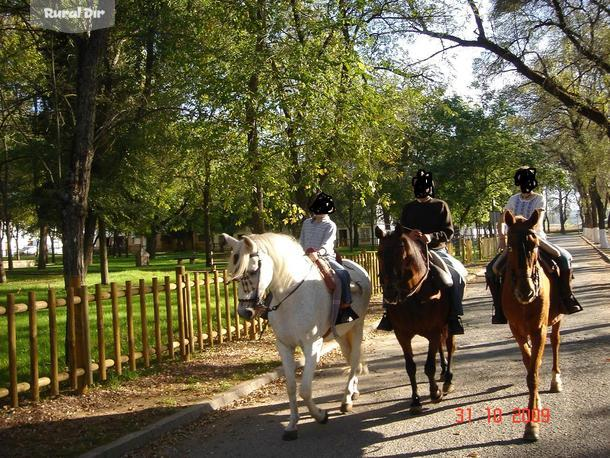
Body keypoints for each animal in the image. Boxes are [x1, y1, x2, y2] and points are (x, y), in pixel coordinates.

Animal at [220, 233, 370, 440]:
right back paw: (353, 392)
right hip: (341, 333)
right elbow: (291, 387)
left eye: (253, 270)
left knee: (354, 359)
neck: (290, 294)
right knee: (350, 360)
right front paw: (292, 425)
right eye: (235, 273)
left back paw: (346, 400)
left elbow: (305, 390)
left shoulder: (312, 345)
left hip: (357, 327)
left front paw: (320, 415)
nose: (244, 312)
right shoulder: (284, 346)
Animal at [372, 225, 454, 416]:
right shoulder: (402, 335)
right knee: (441, 348)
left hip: (448, 326)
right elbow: (411, 368)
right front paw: (415, 401)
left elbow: (429, 366)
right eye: (379, 253)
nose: (390, 293)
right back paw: (443, 371)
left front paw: (435, 393)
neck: (414, 297)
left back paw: (447, 380)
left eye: (402, 254)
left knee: (450, 347)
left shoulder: (433, 331)